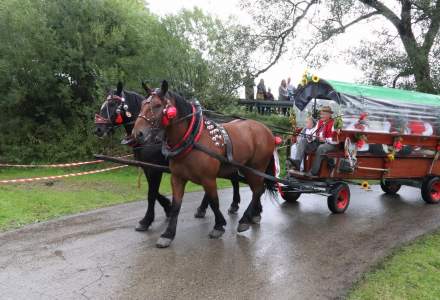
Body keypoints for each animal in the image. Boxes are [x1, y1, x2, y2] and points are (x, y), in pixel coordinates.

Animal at [94, 81, 242, 230]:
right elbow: (153, 192)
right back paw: (206, 208)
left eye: (113, 103)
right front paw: (168, 208)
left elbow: (151, 193)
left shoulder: (154, 169)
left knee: (231, 179)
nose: (98, 129)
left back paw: (231, 205)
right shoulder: (148, 167)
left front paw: (146, 220)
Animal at [132, 81, 276, 247]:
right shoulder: (177, 178)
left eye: (157, 105)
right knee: (255, 189)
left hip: (255, 168)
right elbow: (176, 206)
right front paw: (168, 234)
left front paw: (218, 226)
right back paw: (253, 215)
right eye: (142, 104)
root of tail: (267, 130)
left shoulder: (208, 178)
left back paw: (245, 219)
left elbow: (214, 202)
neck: (193, 139)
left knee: (258, 189)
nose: (137, 133)